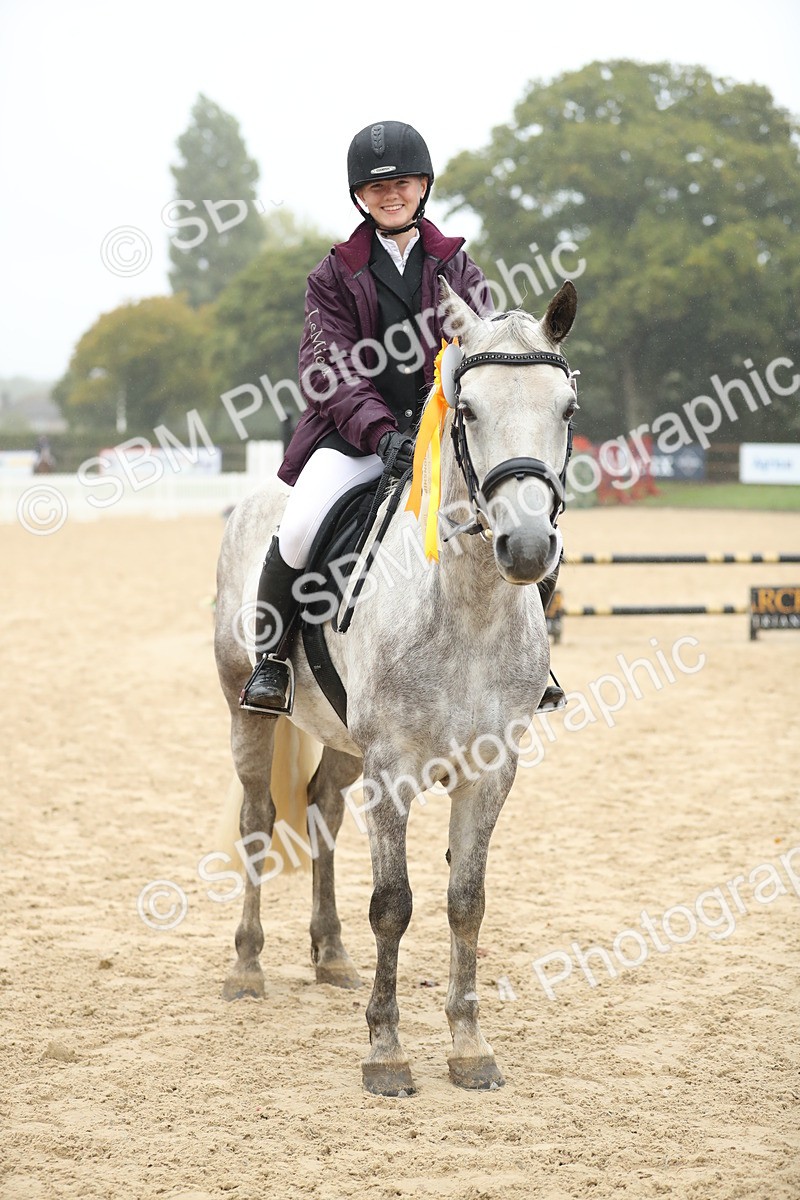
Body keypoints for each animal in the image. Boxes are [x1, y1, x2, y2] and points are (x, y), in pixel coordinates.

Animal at [212, 278, 579, 1096]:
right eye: (466, 410)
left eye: (567, 408)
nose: (527, 548)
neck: (468, 608)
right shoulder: (392, 771)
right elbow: (394, 905)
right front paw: (386, 1052)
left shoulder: (490, 770)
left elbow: (465, 903)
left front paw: (470, 1048)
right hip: (246, 709)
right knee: (257, 819)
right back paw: (248, 967)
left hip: (343, 740)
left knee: (321, 811)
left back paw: (331, 956)